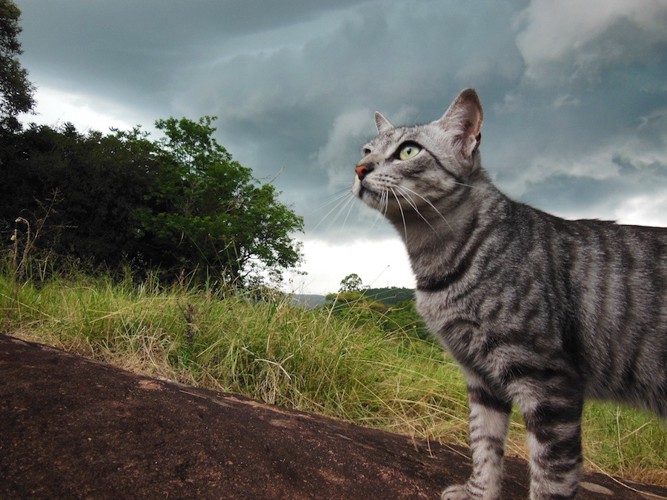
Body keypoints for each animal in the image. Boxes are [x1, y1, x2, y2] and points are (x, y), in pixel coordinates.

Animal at [352, 88, 664, 498]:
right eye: (365, 150)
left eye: (408, 151)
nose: (360, 170)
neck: (440, 266)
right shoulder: (481, 378)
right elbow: (484, 444)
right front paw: (477, 492)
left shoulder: (549, 383)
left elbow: (551, 474)